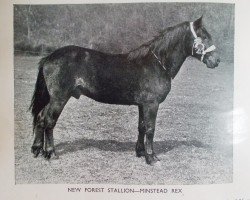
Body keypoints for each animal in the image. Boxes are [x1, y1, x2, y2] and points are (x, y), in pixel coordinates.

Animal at [30, 16, 220, 164]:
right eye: (203, 37)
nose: (216, 61)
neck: (157, 63)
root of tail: (49, 57)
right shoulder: (151, 104)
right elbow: (150, 129)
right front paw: (151, 158)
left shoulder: (142, 105)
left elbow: (141, 127)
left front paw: (140, 152)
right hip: (59, 98)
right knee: (49, 121)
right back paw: (51, 153)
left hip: (52, 99)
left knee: (40, 118)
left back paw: (37, 150)